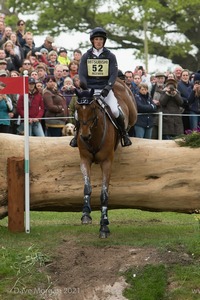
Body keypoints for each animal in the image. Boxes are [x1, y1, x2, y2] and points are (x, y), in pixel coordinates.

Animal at [75, 78, 138, 238]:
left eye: (92, 108)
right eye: (77, 109)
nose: (84, 135)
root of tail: (119, 81)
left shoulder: (107, 162)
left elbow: (104, 194)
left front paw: (104, 225)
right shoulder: (84, 159)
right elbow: (87, 187)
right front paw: (86, 214)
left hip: (133, 114)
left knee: (128, 122)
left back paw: (126, 136)